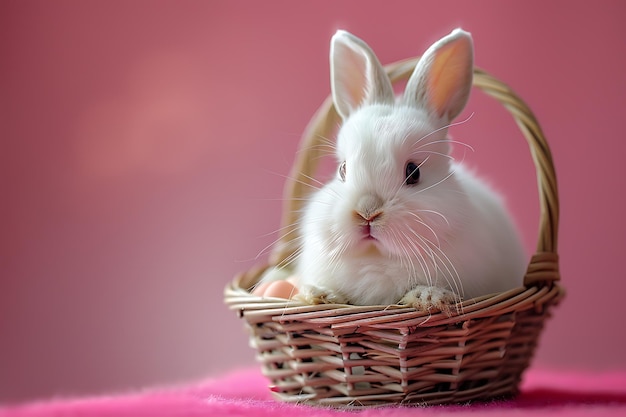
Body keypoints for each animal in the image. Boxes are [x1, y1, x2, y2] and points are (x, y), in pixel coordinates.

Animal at [292, 28, 520, 308]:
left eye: (413, 172)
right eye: (343, 170)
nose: (367, 212)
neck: (378, 258)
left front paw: (429, 297)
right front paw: (319, 294)